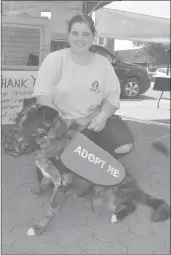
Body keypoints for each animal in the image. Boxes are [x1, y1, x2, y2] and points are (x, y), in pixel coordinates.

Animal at [3, 100, 170, 236]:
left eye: (24, 122)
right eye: (16, 120)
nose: (5, 139)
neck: (53, 142)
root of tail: (135, 186)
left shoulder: (61, 185)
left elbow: (50, 209)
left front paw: (39, 227)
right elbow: (44, 182)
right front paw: (39, 190)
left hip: (114, 191)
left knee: (132, 205)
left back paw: (118, 215)